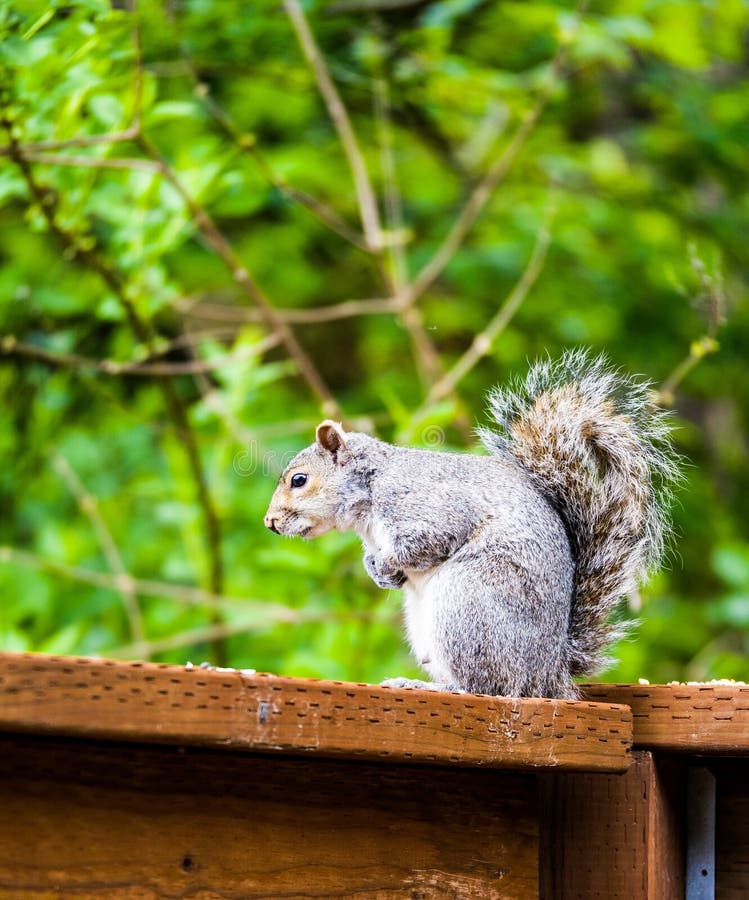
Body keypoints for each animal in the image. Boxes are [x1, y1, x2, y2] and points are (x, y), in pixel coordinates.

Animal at [264, 349, 682, 699]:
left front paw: (387, 563)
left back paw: (433, 687)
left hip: (469, 607)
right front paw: (380, 572)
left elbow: (425, 543)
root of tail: (549, 674)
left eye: (298, 480)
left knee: (487, 687)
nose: (270, 522)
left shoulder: (432, 510)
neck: (369, 494)